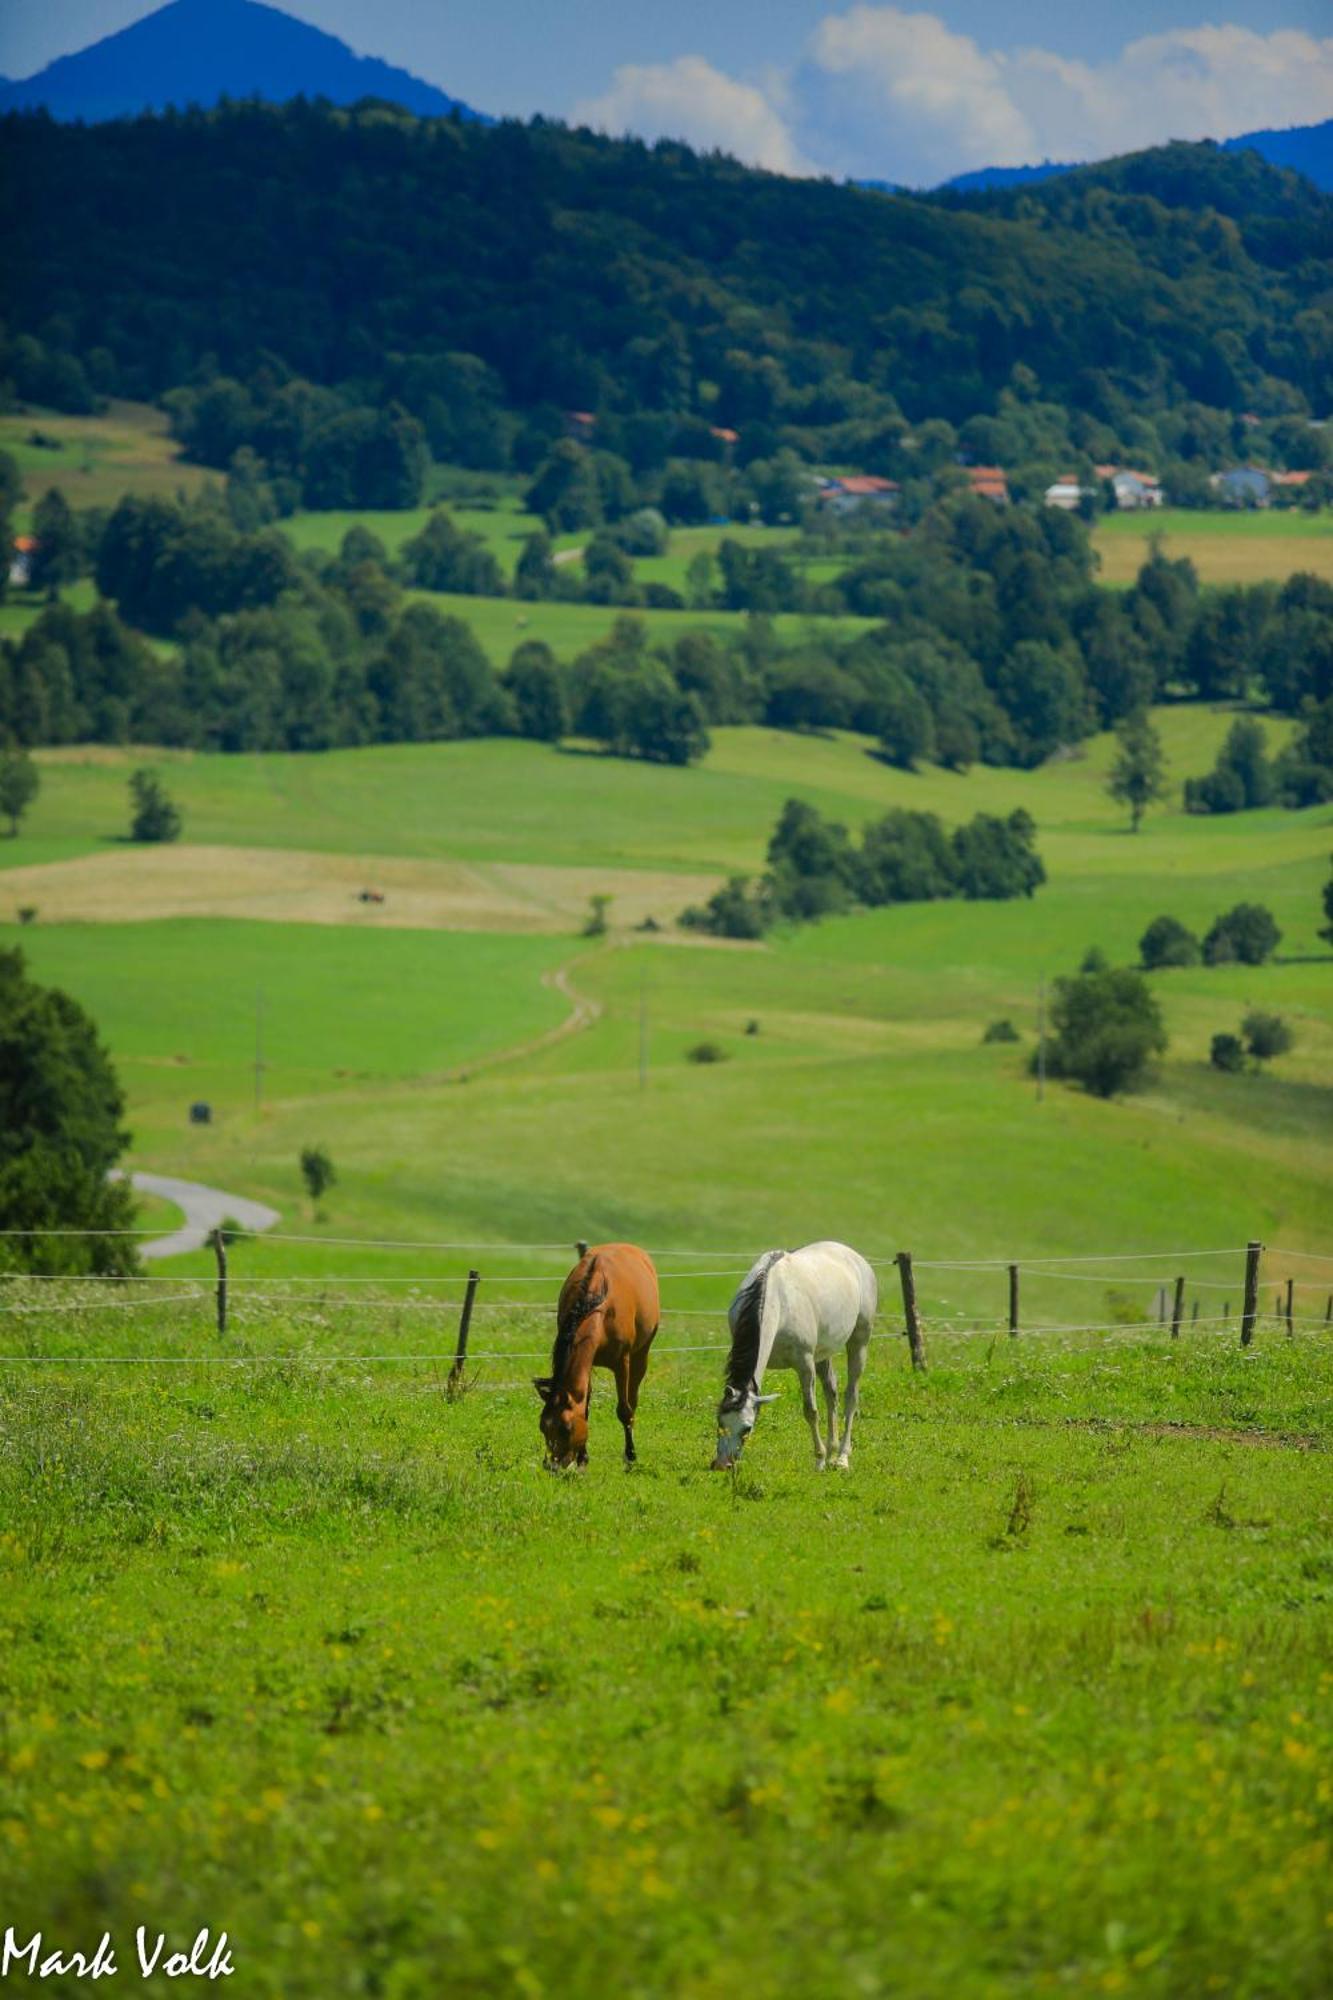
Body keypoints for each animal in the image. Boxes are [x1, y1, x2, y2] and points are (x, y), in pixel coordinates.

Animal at [528, 1232, 652, 1472]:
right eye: (542, 1426)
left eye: (566, 1428)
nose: (551, 1466)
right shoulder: (589, 1361)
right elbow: (584, 1407)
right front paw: (582, 1459)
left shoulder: (622, 1362)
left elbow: (624, 1410)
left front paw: (630, 1457)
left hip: (641, 1354)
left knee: (633, 1398)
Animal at [704, 1232, 872, 1472]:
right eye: (720, 1421)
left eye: (747, 1428)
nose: (721, 1464)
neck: (778, 1301)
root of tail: (855, 1258)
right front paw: (824, 1456)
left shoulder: (805, 1364)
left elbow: (810, 1411)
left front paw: (819, 1460)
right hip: (824, 1353)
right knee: (831, 1391)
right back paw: (832, 1450)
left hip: (859, 1341)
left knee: (851, 1396)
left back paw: (840, 1458)